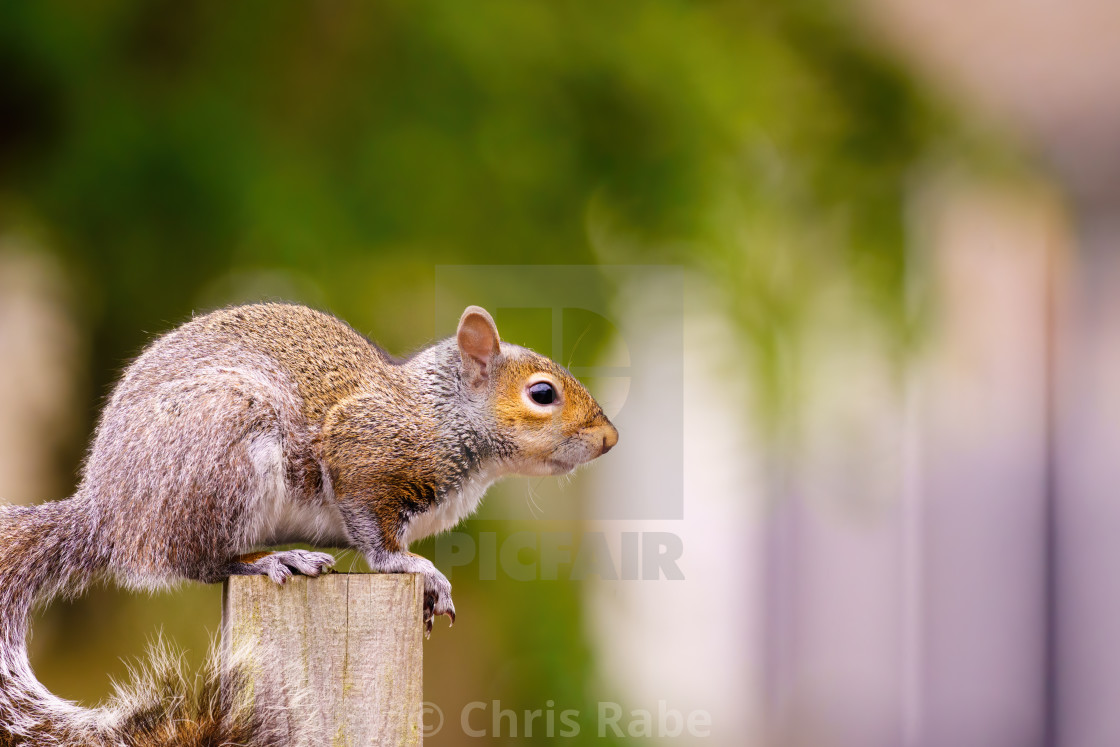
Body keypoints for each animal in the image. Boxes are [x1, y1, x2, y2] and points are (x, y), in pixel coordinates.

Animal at [0, 300, 618, 743]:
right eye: (542, 393)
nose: (610, 439)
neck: (441, 416)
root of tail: (106, 513)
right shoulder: (364, 456)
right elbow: (374, 535)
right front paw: (417, 569)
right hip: (221, 456)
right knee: (201, 560)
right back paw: (276, 558)